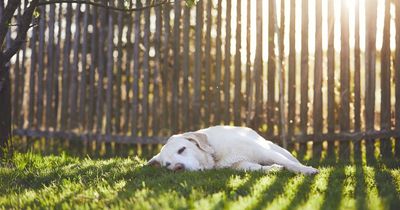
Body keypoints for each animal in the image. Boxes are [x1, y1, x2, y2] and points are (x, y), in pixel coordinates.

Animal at [147, 125, 318, 175]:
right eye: (168, 165)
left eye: (182, 149)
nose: (178, 167)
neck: (216, 155)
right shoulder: (239, 164)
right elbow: (256, 167)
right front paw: (273, 169)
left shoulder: (265, 152)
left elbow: (289, 164)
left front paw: (307, 170)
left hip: (276, 149)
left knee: (290, 159)